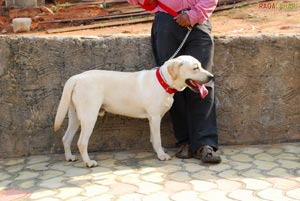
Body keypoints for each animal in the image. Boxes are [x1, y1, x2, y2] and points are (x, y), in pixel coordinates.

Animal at [54, 54, 213, 166]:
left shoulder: (152, 119)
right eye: (195, 68)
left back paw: (69, 157)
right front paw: (161, 155)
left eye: (200, 65)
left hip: (75, 116)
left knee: (66, 138)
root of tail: (77, 77)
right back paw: (88, 162)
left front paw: (159, 151)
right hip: (89, 117)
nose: (211, 76)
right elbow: (157, 139)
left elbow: (153, 138)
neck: (163, 82)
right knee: (81, 142)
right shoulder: (155, 117)